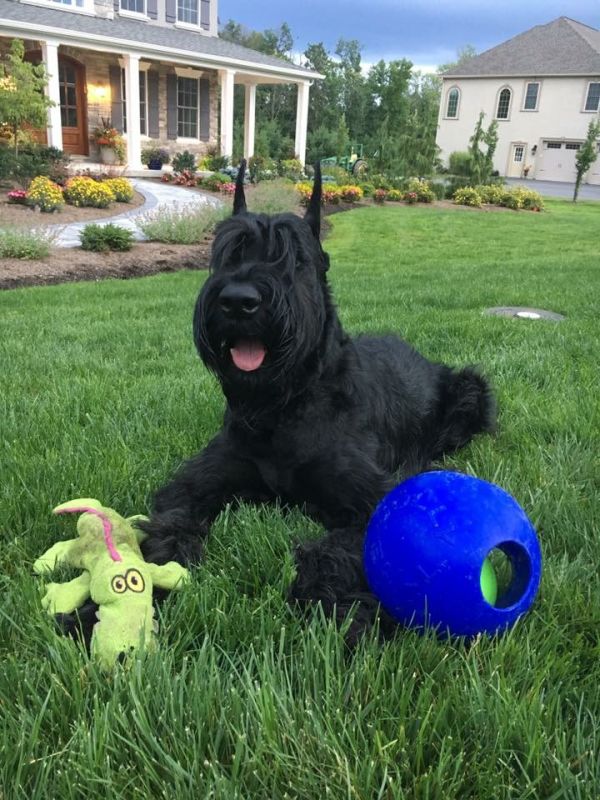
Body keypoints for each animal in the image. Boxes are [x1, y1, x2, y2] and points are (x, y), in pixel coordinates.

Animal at [61, 162, 494, 644]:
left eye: (296, 258)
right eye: (227, 253)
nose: (239, 301)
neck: (283, 407)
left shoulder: (372, 501)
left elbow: (336, 549)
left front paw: (344, 613)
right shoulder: (197, 483)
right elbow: (168, 529)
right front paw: (104, 609)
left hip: (470, 391)